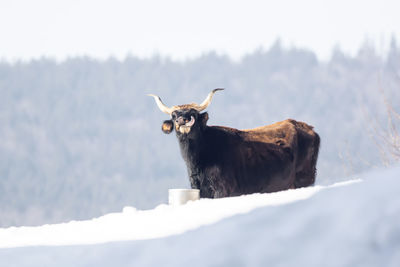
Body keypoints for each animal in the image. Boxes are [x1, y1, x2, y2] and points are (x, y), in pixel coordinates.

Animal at [148, 89, 320, 198]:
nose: (182, 121)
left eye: (193, 114)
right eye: (174, 115)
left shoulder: (223, 190)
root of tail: (307, 127)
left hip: (304, 180)